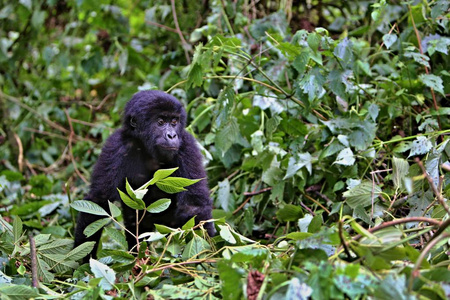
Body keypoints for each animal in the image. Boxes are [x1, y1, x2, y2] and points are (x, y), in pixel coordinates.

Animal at [74, 90, 214, 258]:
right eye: (160, 122)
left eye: (174, 121)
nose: (172, 135)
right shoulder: (116, 146)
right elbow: (99, 200)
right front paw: (81, 261)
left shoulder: (187, 146)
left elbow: (193, 206)